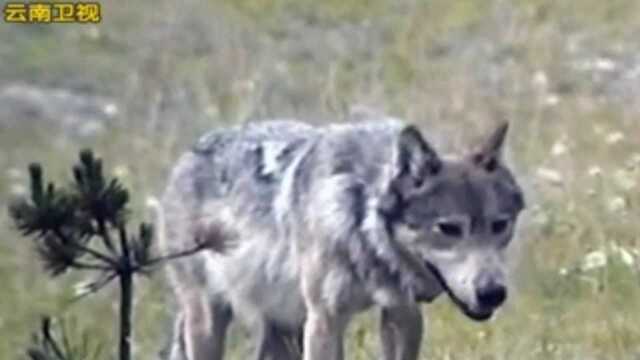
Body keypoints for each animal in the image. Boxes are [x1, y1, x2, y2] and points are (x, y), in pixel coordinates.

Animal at [159, 115, 524, 360]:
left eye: (500, 225)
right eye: (448, 229)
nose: (492, 293)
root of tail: (187, 156)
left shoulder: (402, 313)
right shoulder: (325, 319)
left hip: (282, 326)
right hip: (210, 321)